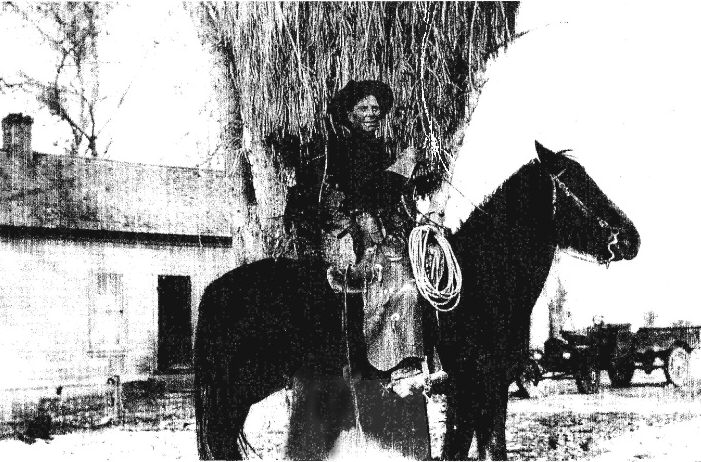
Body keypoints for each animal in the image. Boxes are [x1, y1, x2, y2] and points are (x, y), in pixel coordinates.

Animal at [193, 141, 640, 458]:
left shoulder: (487, 389)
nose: (631, 238)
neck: (482, 283)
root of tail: (215, 291)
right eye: (575, 185)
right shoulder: (472, 386)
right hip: (236, 392)